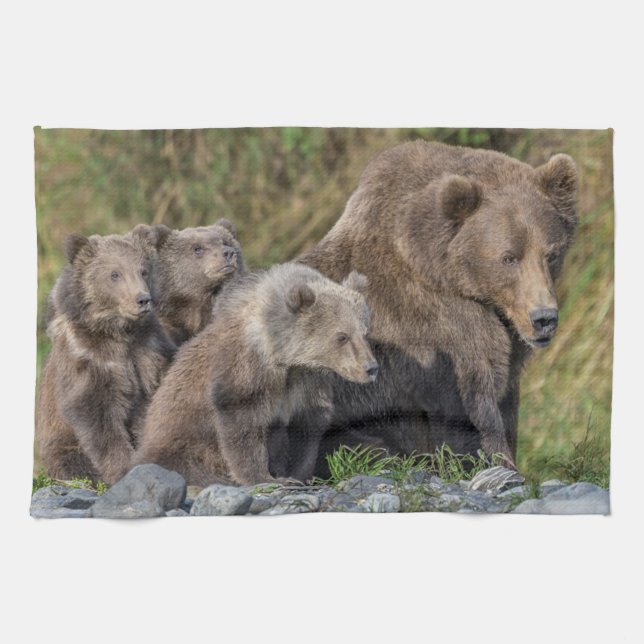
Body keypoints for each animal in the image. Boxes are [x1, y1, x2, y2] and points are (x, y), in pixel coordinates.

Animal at [35, 228, 176, 485]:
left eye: (143, 270)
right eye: (114, 274)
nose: (142, 299)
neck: (119, 332)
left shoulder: (149, 349)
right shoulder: (89, 359)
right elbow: (97, 416)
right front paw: (123, 467)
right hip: (61, 447)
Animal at [133, 263, 378, 486]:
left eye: (365, 332)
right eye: (342, 336)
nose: (371, 368)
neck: (285, 357)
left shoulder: (307, 381)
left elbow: (304, 427)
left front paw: (297, 474)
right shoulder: (248, 368)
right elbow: (243, 420)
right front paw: (263, 477)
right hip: (181, 443)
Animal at [296, 140, 578, 471]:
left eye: (552, 254)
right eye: (509, 257)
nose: (544, 318)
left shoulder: (508, 338)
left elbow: (506, 398)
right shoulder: (439, 328)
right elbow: (473, 403)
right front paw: (497, 461)